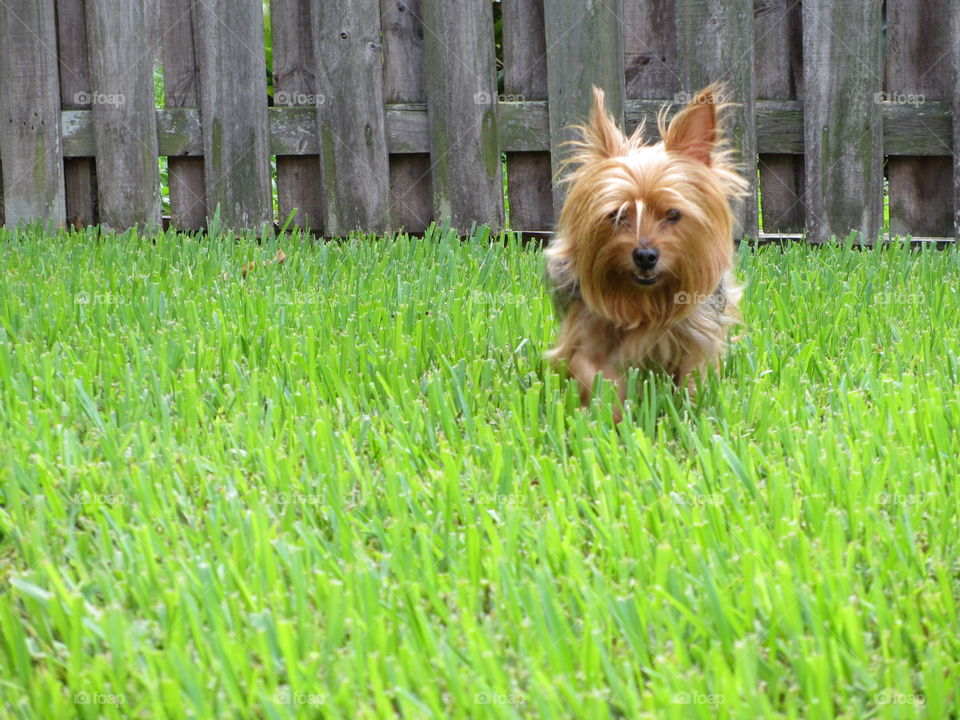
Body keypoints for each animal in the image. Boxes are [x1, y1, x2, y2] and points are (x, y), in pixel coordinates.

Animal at [544, 84, 748, 416]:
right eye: (616, 215)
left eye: (674, 214)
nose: (645, 256)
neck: (644, 301)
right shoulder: (586, 335)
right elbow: (595, 375)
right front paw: (610, 416)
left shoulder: (695, 336)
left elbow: (693, 378)